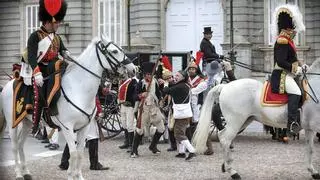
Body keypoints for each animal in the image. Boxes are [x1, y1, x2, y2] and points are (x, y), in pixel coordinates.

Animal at [0, 34, 135, 180]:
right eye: (114, 51)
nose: (133, 69)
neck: (78, 88)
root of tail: (8, 85)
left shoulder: (84, 127)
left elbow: (80, 153)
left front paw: (79, 176)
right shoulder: (67, 127)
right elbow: (73, 152)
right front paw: (71, 175)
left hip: (27, 122)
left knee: (20, 144)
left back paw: (26, 172)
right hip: (12, 123)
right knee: (14, 146)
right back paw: (19, 173)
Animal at [192, 59, 320, 179]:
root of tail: (225, 86)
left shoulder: (310, 128)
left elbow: (310, 149)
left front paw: (313, 171)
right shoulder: (315, 127)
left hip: (245, 121)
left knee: (223, 136)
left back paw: (225, 165)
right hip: (236, 121)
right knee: (224, 138)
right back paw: (233, 171)